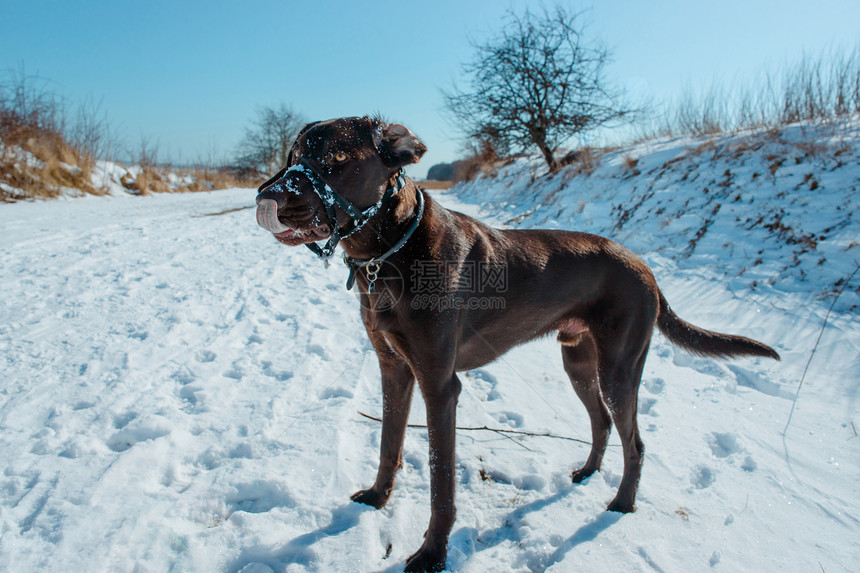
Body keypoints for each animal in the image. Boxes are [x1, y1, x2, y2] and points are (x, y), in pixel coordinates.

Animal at [254, 116, 780, 572]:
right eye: (294, 154)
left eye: (339, 157)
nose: (265, 197)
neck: (391, 252)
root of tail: (645, 267)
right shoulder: (394, 369)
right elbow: (389, 443)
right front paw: (378, 497)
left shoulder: (440, 386)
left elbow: (441, 484)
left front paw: (432, 555)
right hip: (578, 361)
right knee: (602, 422)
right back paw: (587, 472)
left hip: (619, 367)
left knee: (635, 440)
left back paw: (621, 503)